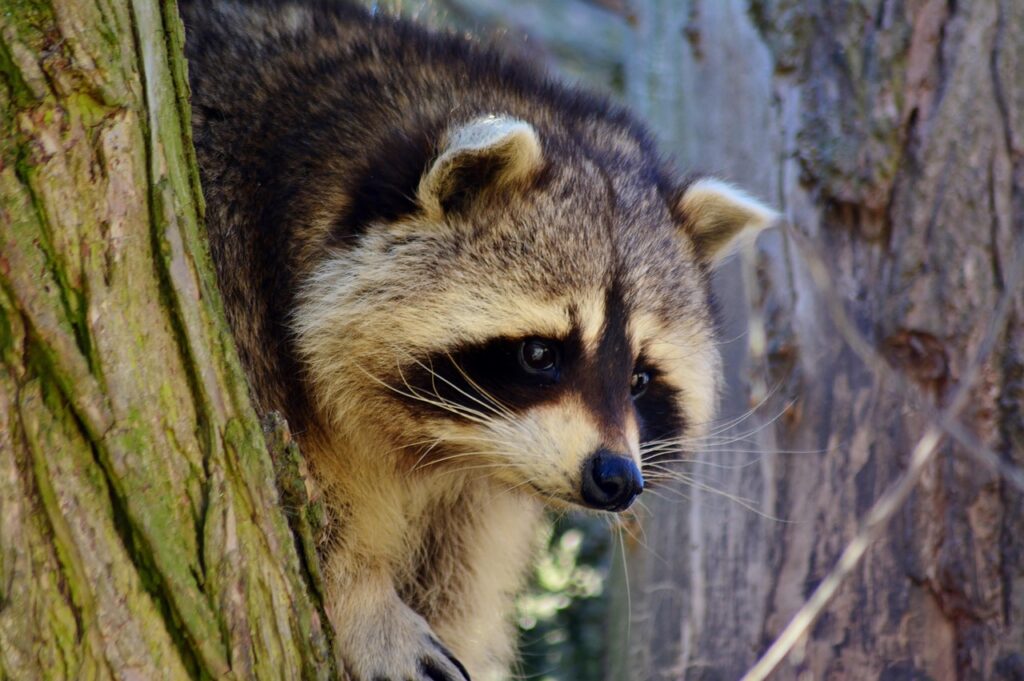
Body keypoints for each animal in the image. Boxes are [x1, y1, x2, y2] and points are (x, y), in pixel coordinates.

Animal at [181, 1, 776, 678]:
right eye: (540, 354)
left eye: (639, 378)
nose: (617, 479)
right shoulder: (231, 271)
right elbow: (290, 497)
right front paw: (361, 599)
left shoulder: (486, 481)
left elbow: (460, 570)